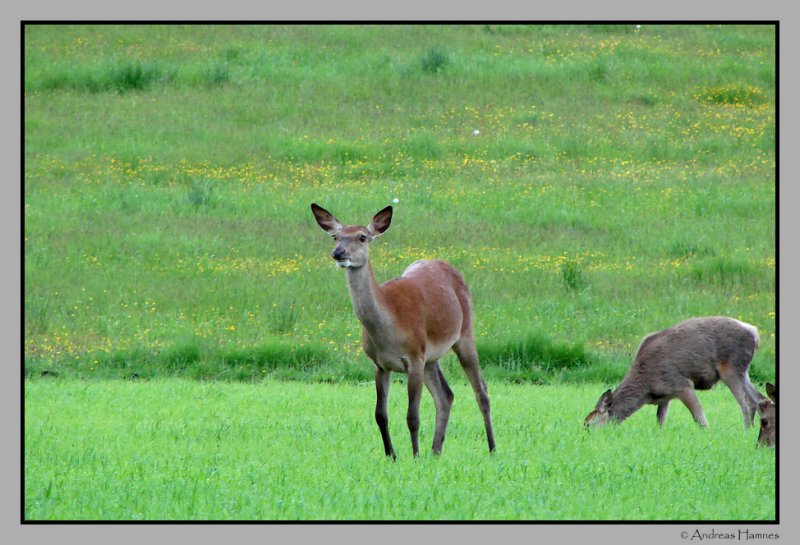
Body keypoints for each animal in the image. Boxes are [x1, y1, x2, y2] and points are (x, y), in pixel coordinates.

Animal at [310, 202, 494, 456]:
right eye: (335, 236)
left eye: (362, 237)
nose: (338, 253)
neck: (389, 329)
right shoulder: (380, 364)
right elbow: (380, 415)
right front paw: (392, 455)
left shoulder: (414, 357)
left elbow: (412, 416)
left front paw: (415, 456)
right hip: (431, 357)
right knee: (446, 396)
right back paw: (436, 452)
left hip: (464, 334)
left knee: (481, 391)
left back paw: (492, 449)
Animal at [584, 314, 764, 430]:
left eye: (589, 424)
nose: (585, 434)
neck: (647, 389)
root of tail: (754, 333)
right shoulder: (666, 395)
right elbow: (660, 420)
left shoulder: (681, 384)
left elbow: (699, 418)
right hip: (743, 371)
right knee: (758, 398)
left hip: (731, 368)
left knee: (746, 403)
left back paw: (746, 430)